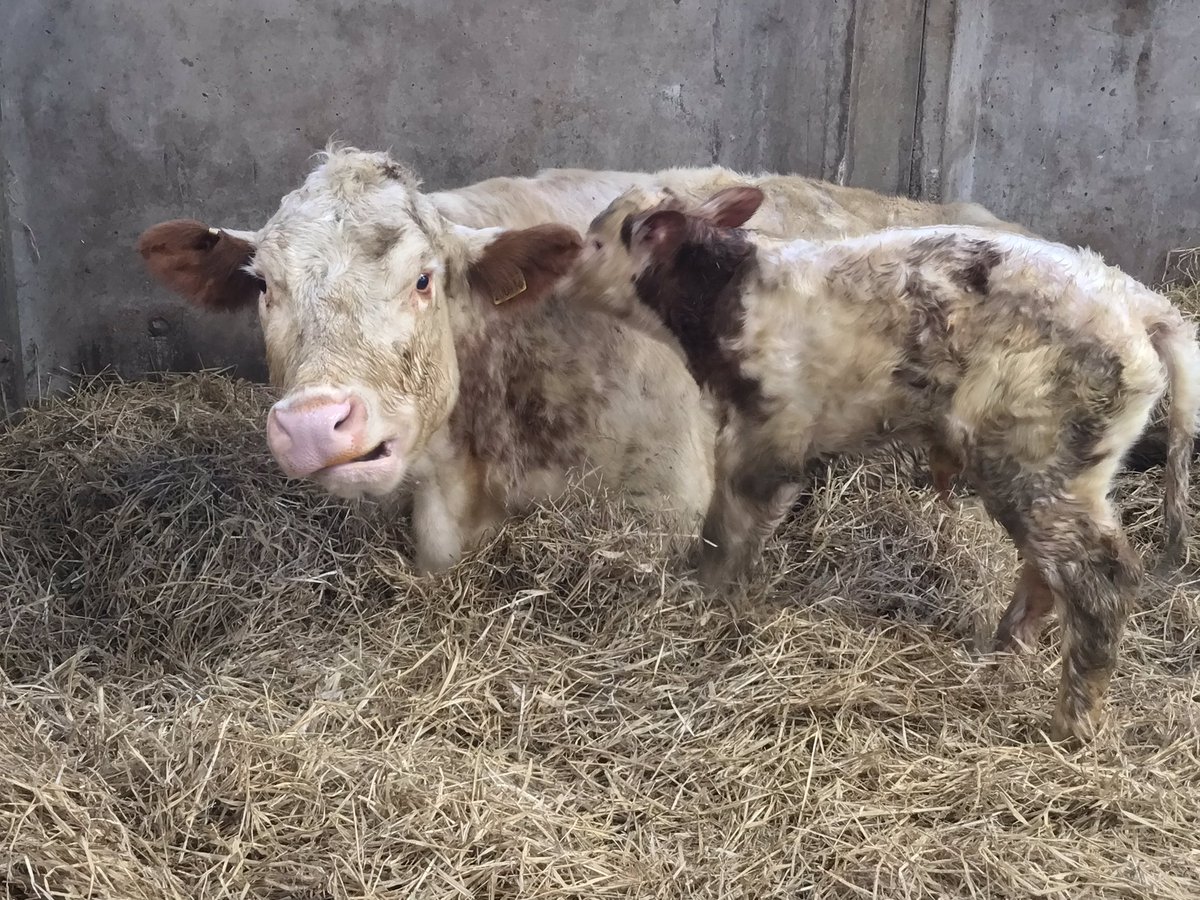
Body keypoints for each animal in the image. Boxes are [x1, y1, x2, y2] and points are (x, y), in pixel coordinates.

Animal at [560, 184, 1200, 742]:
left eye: (595, 240)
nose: (560, 272)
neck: (728, 293)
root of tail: (1141, 304)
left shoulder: (764, 431)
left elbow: (726, 528)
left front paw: (706, 597)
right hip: (1062, 473)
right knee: (1046, 570)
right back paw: (1001, 654)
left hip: (1045, 458)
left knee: (1099, 579)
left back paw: (1071, 724)